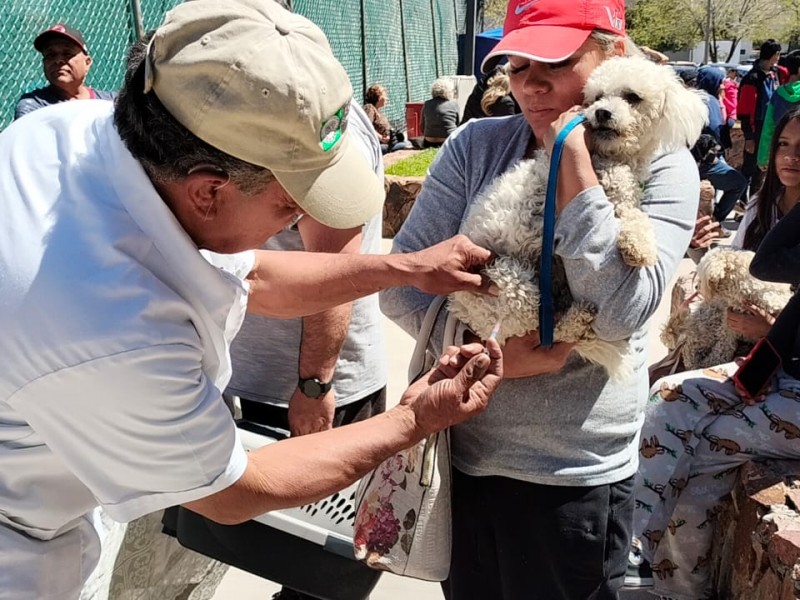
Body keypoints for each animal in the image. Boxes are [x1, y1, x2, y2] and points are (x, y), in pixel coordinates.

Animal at [450, 55, 708, 376]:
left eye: (632, 97)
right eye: (596, 97)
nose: (601, 112)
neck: (611, 158)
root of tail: (460, 309)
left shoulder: (622, 195)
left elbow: (634, 215)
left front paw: (638, 245)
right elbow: (627, 212)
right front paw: (639, 245)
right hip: (509, 284)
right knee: (542, 331)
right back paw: (576, 321)